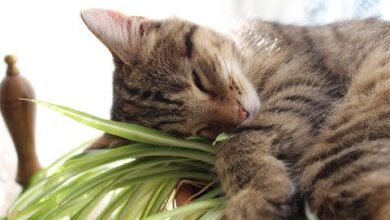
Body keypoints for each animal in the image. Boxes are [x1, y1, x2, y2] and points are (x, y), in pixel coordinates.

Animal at [80, 8, 388, 220]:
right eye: (199, 132)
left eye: (199, 81)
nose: (240, 115)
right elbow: (235, 142)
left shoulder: (300, 82)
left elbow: (238, 143)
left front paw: (255, 195)